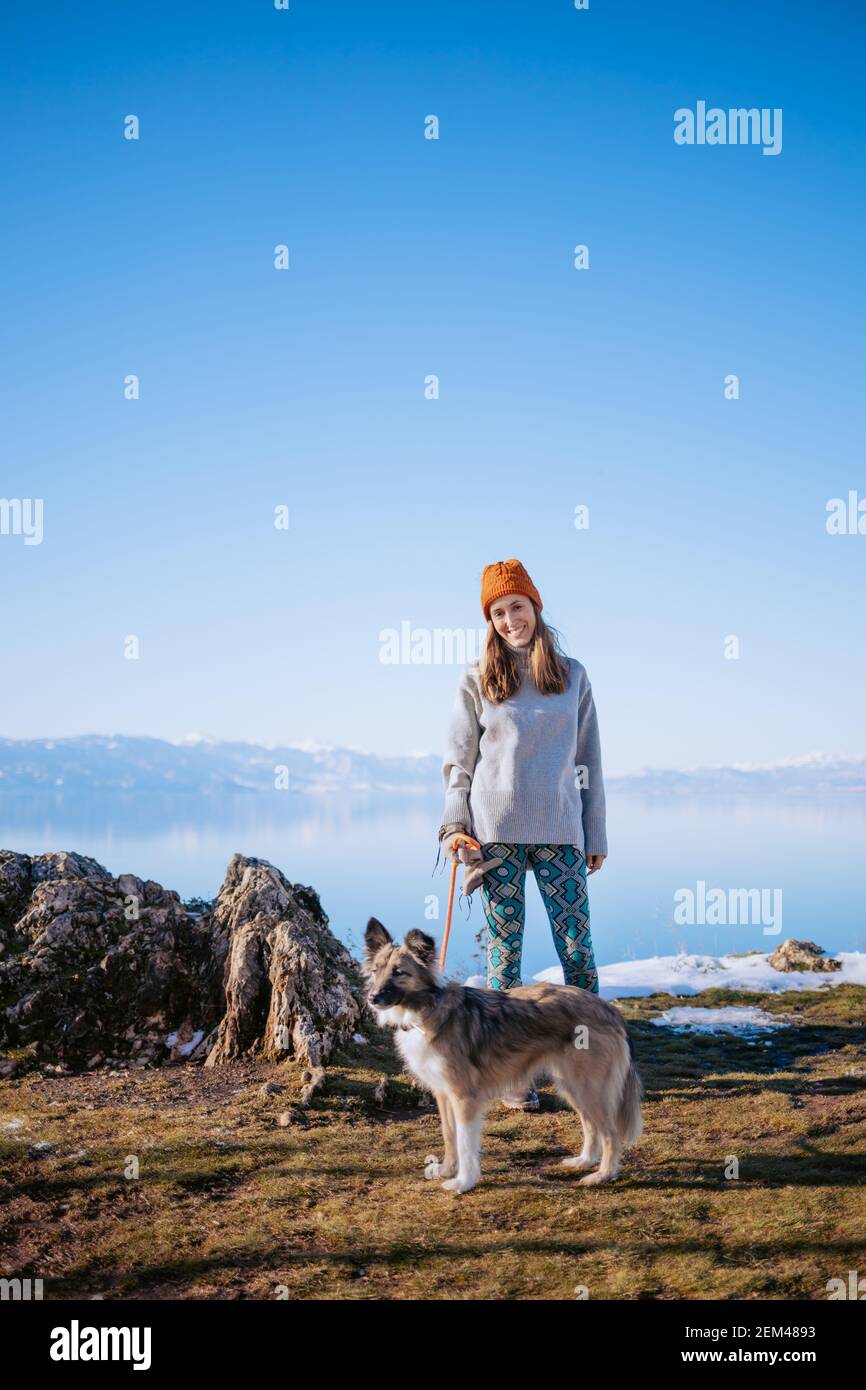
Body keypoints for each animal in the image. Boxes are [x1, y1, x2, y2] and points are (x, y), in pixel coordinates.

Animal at [364, 911, 644, 1195]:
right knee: (590, 1126)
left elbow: (465, 1143)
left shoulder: (464, 1097)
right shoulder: (443, 1094)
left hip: (588, 1087)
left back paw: (603, 1175)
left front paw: (464, 1182)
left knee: (610, 1133)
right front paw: (447, 1170)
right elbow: (449, 1135)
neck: (427, 1008)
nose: (372, 998)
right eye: (376, 971)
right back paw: (584, 1161)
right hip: (572, 1086)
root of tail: (609, 1010)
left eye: (399, 972)